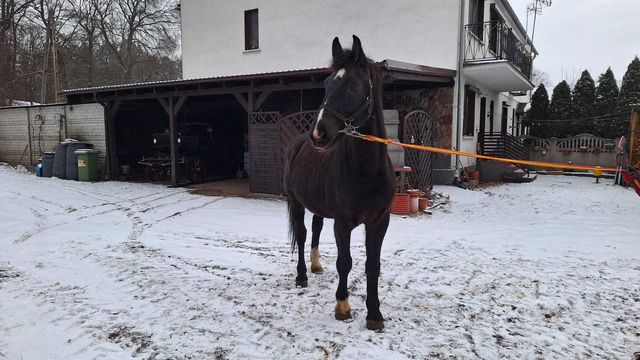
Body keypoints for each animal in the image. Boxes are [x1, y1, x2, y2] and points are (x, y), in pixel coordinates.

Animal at [284, 35, 396, 330]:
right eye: (326, 84)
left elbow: (373, 265)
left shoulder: (379, 221)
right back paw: (302, 276)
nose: (319, 134)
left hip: (318, 207)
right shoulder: (343, 223)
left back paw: (315, 266)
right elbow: (345, 262)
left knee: (315, 229)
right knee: (302, 234)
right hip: (296, 202)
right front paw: (343, 307)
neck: (367, 172)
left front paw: (374, 314)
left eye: (353, 85)